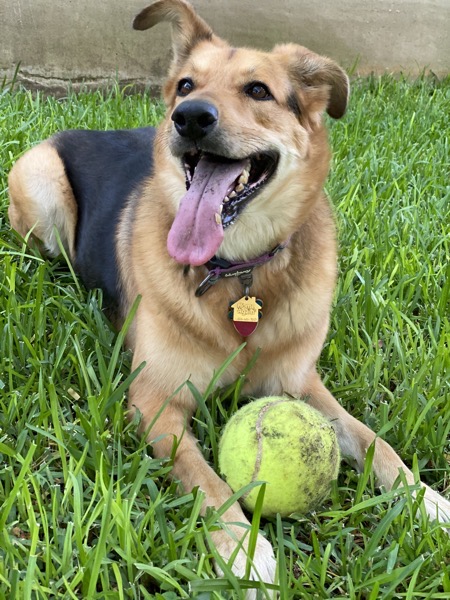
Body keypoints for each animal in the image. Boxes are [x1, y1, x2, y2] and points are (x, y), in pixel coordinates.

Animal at [7, 0, 450, 596]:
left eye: (258, 91)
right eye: (186, 84)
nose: (189, 116)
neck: (239, 272)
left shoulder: (301, 383)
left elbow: (372, 439)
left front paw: (427, 499)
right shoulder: (155, 402)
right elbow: (207, 479)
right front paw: (244, 552)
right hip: (40, 181)